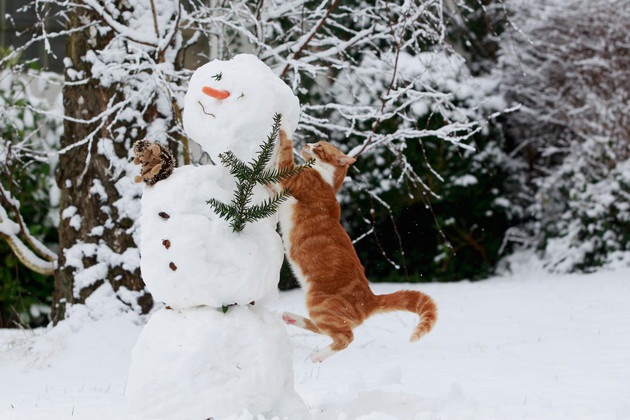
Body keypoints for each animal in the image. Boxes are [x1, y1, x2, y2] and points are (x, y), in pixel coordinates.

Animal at [278, 133, 440, 362]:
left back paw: (317, 356)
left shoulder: (292, 177)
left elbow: (284, 148)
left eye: (319, 145)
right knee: (326, 329)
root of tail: (371, 298)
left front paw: (283, 128)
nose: (308, 143)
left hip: (319, 303)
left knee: (345, 337)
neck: (327, 179)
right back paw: (290, 318)